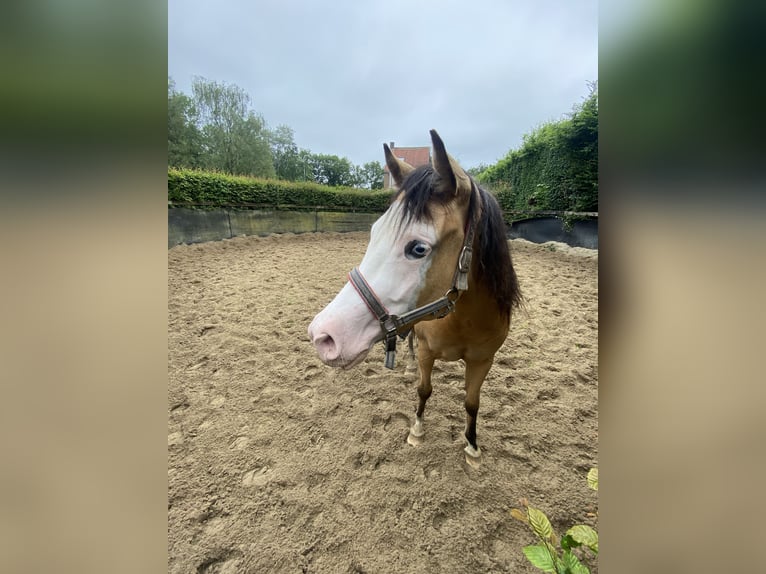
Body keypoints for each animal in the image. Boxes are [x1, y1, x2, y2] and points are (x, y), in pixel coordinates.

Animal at [306, 132, 520, 468]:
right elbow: (424, 389)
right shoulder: (427, 352)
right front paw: (416, 430)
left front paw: (472, 447)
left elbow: (472, 403)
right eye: (374, 233)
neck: (465, 319)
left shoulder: (483, 360)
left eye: (418, 248)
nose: (323, 336)